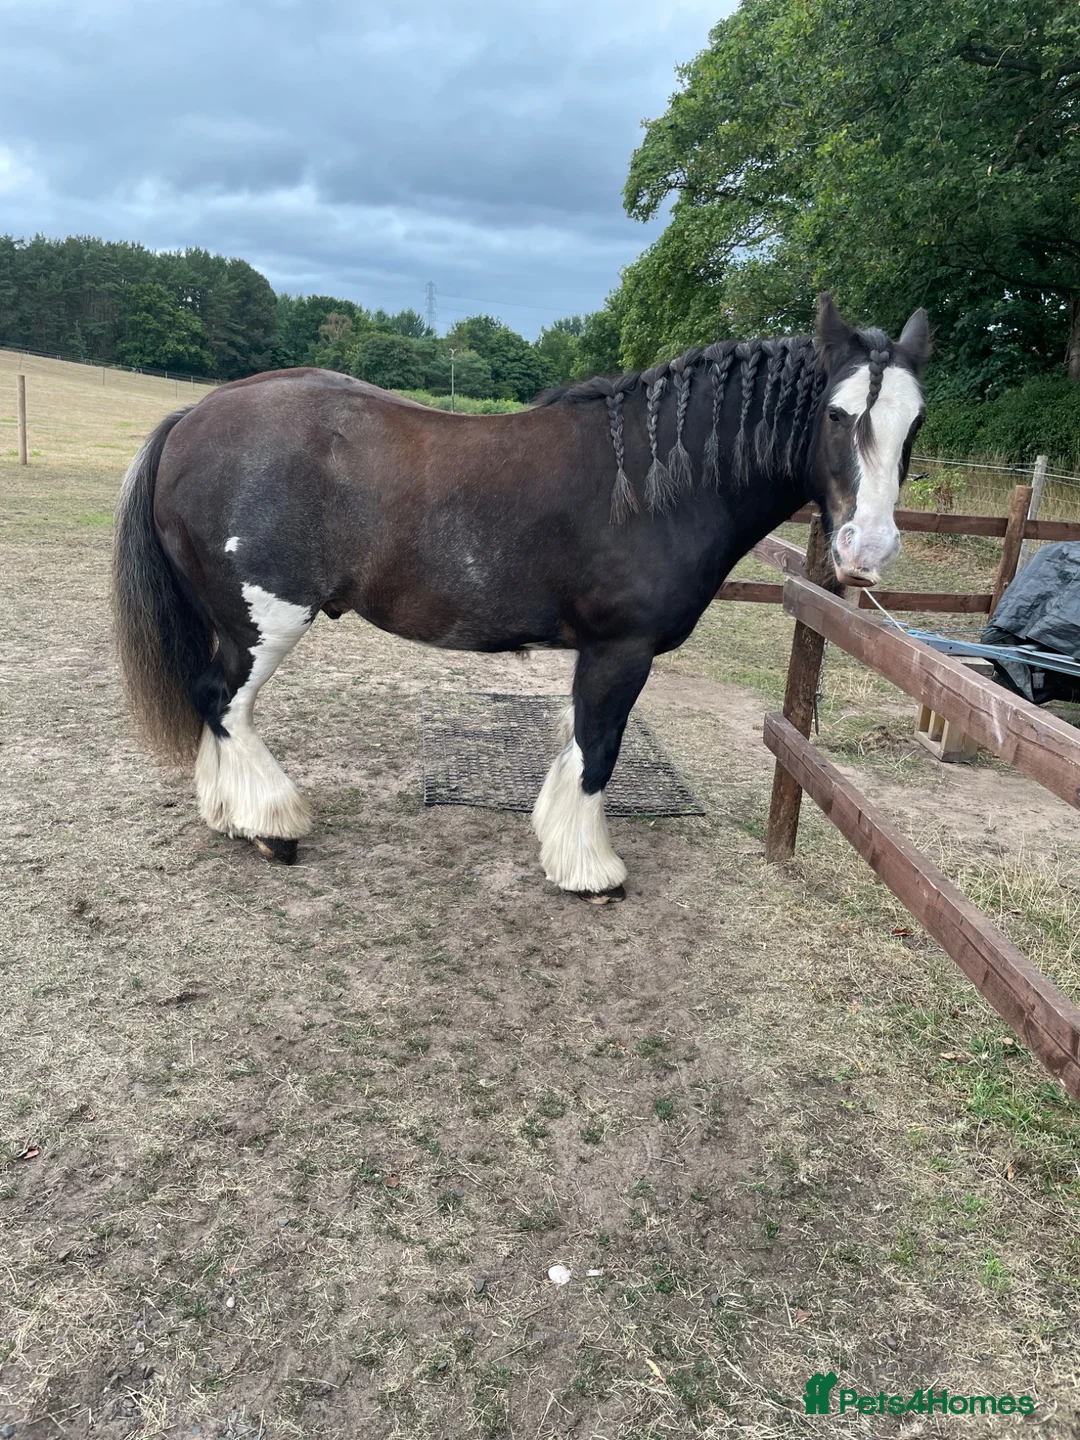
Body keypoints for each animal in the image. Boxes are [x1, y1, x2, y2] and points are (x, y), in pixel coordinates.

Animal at [111, 294, 929, 897]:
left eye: (914, 423)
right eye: (836, 414)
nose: (867, 550)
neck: (654, 487)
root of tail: (192, 417)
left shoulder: (595, 653)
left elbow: (577, 745)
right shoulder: (620, 649)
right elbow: (600, 749)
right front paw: (591, 873)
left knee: (213, 702)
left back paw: (229, 816)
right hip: (265, 620)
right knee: (224, 701)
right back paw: (271, 828)